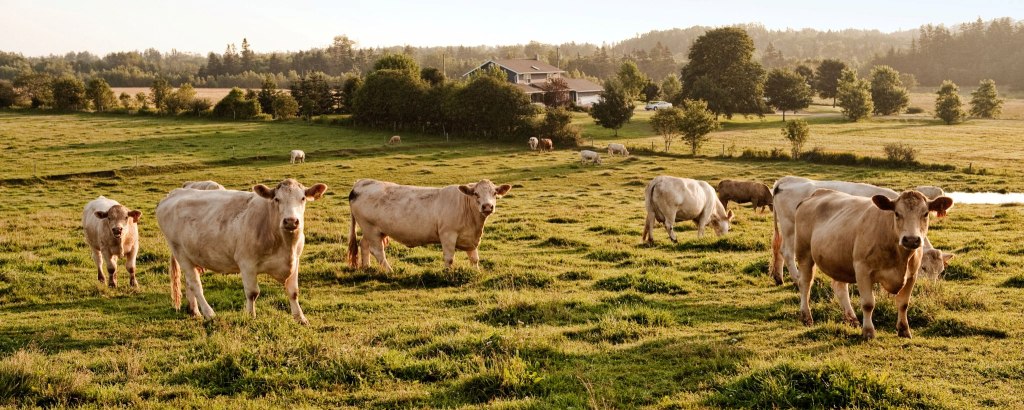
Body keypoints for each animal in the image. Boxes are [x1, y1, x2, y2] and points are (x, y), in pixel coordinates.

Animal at [154, 177, 327, 325]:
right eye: (277, 199)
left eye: (302, 198)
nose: (291, 221)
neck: (285, 245)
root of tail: (174, 193)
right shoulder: (247, 263)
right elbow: (252, 293)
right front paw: (250, 315)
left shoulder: (295, 261)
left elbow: (293, 292)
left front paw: (300, 318)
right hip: (180, 252)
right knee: (195, 284)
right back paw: (209, 313)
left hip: (190, 255)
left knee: (189, 283)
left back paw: (194, 311)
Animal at [348, 178, 512, 272]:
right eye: (476, 194)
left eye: (494, 193)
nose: (487, 206)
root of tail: (360, 184)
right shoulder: (447, 234)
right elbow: (449, 258)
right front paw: (447, 275)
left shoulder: (471, 238)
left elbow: (474, 258)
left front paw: (476, 273)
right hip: (370, 228)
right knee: (378, 251)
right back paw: (390, 271)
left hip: (372, 230)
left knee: (364, 245)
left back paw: (366, 268)